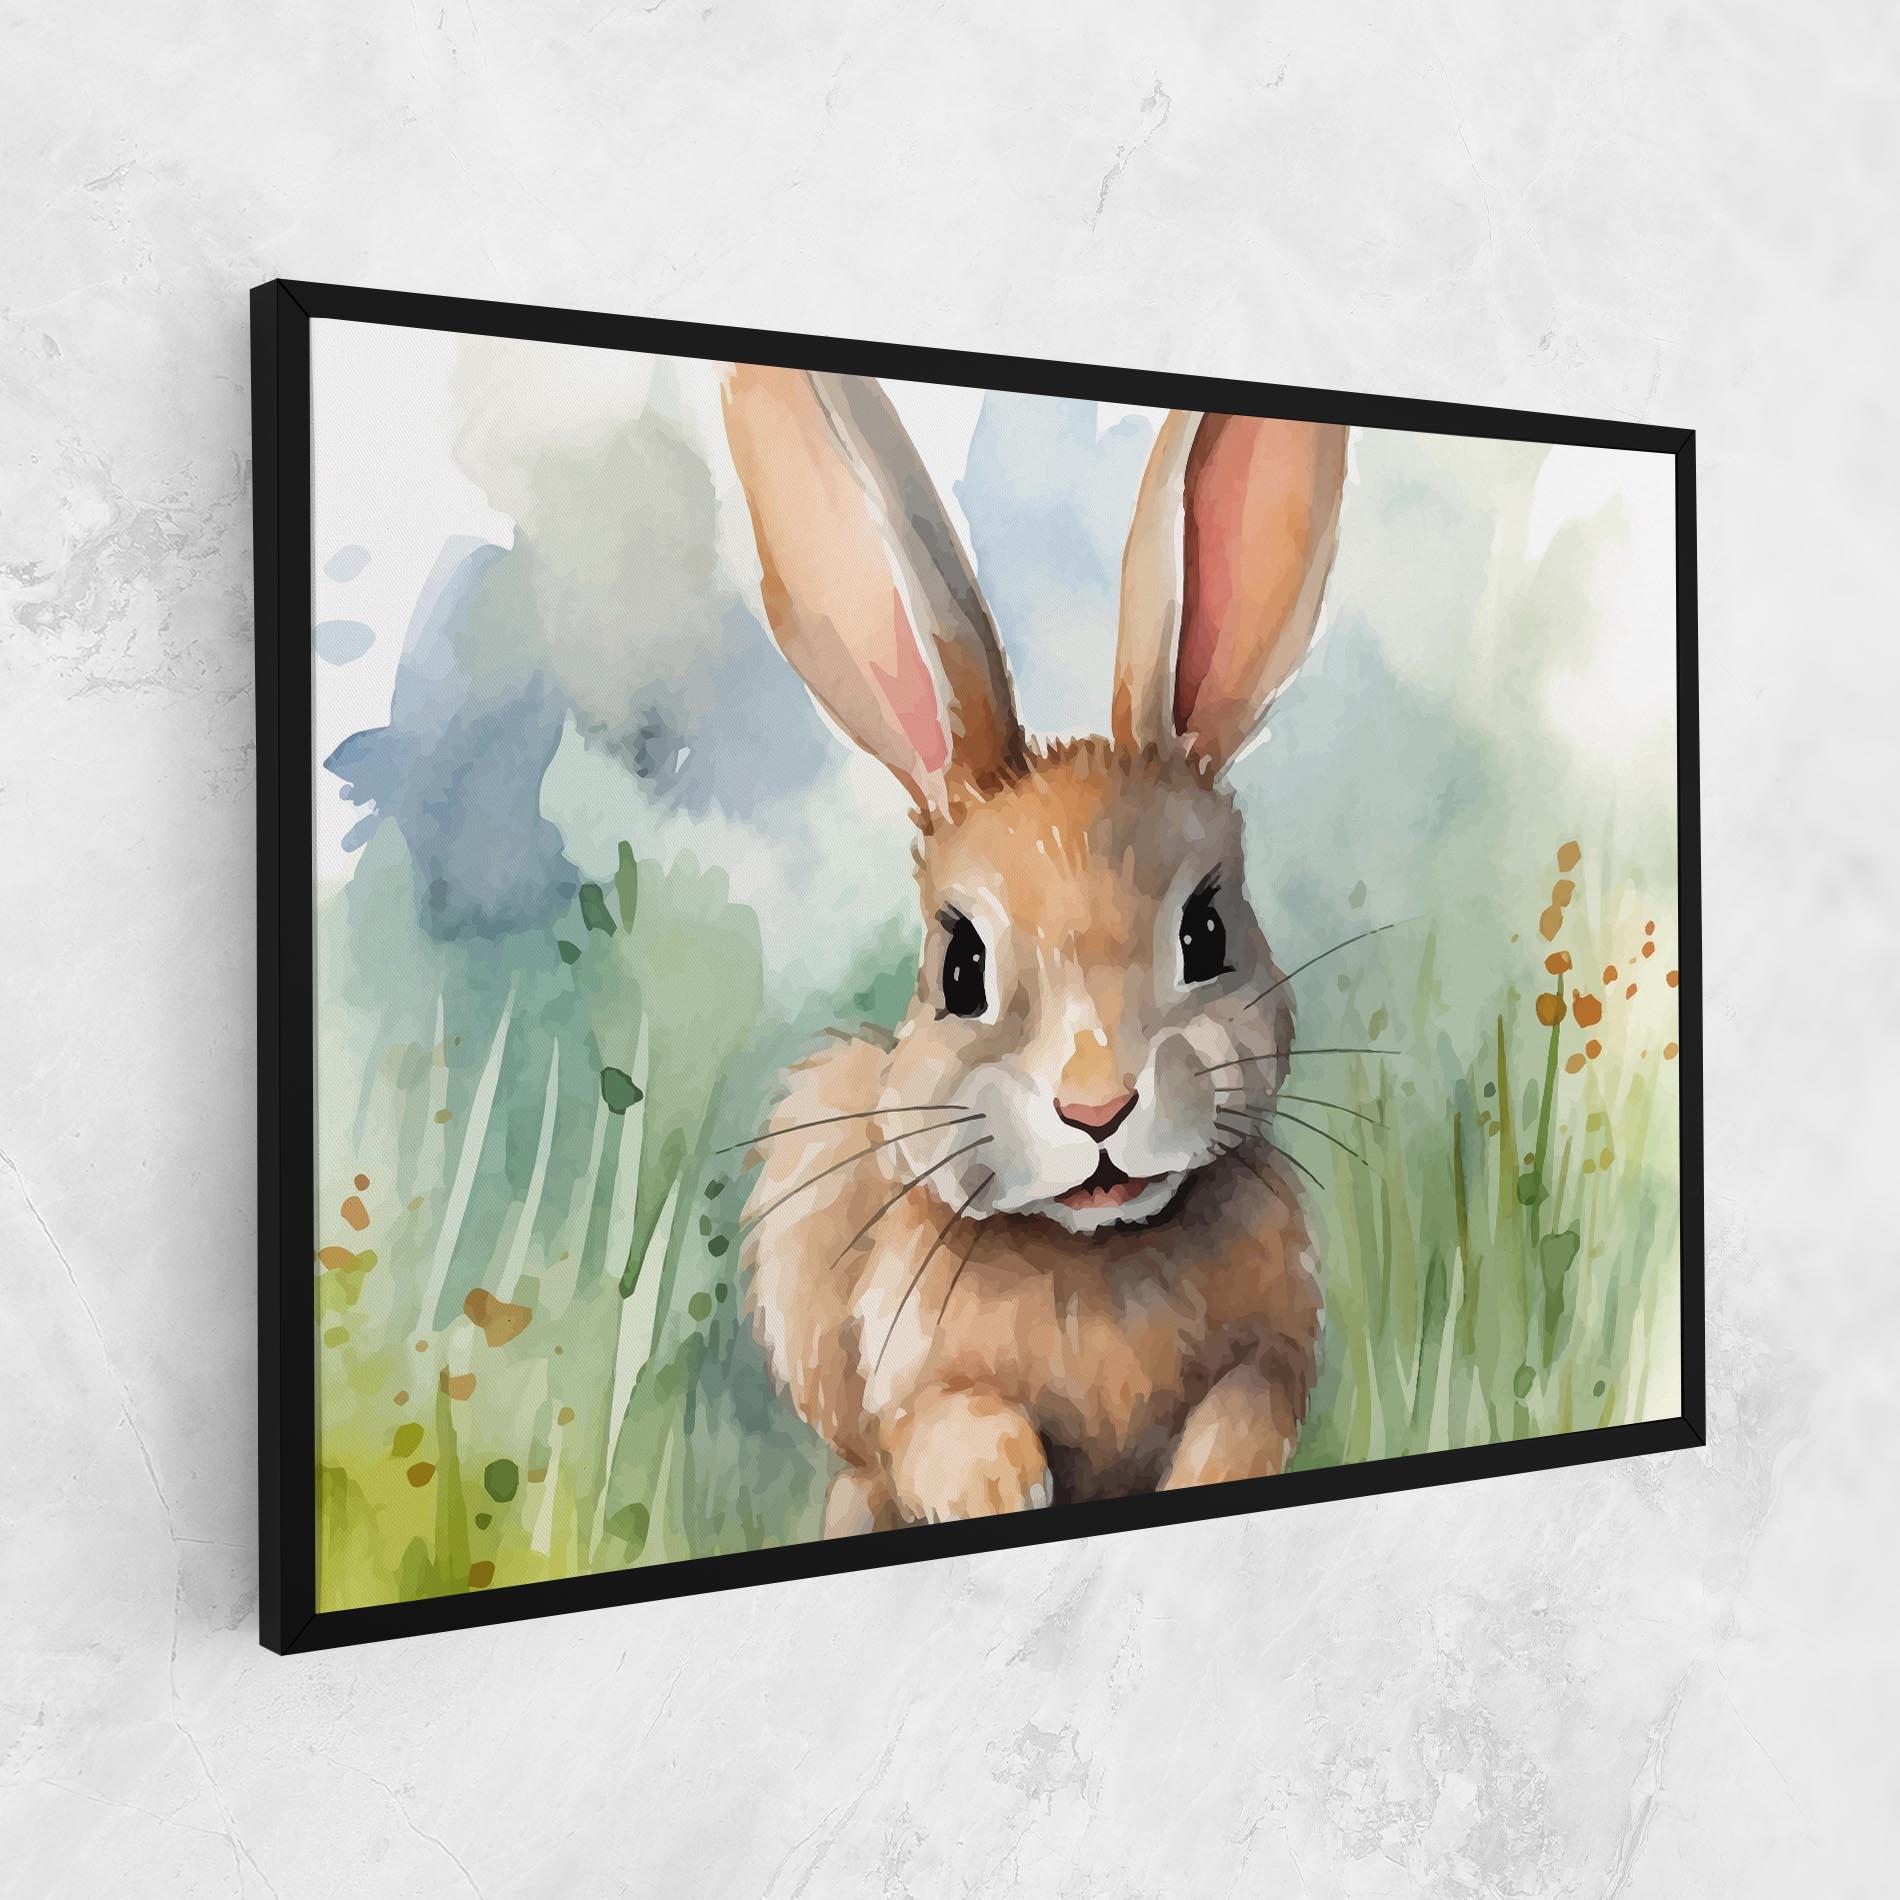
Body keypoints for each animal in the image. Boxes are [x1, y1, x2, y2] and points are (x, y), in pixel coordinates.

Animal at [720, 366, 1349, 1532]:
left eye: (1205, 933)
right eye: (959, 968)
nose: (1097, 1108)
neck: (1092, 1245)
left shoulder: (1274, 1359)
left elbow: (1246, 1413)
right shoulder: (910, 1388)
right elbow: (939, 1428)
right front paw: (1001, 1482)